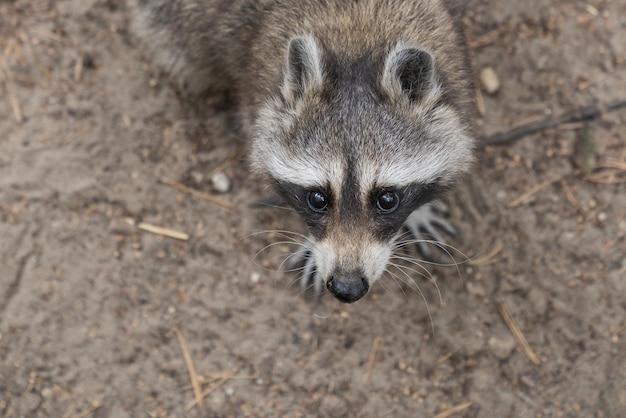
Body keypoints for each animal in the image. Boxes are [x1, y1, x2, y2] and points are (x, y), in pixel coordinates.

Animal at [130, 1, 472, 306]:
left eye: (387, 199)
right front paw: (310, 240)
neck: (357, 47)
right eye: (317, 199)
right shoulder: (258, 101)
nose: (347, 288)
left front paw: (419, 211)